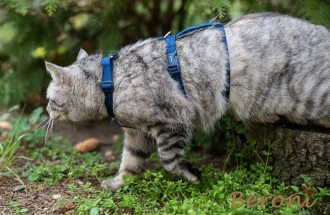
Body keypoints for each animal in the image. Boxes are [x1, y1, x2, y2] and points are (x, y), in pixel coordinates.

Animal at [45, 12, 328, 191]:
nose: (46, 110)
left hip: (312, 95)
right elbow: (130, 161)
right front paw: (119, 183)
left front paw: (191, 174)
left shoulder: (172, 122)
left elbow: (168, 160)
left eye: (50, 99)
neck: (108, 81)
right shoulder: (137, 133)